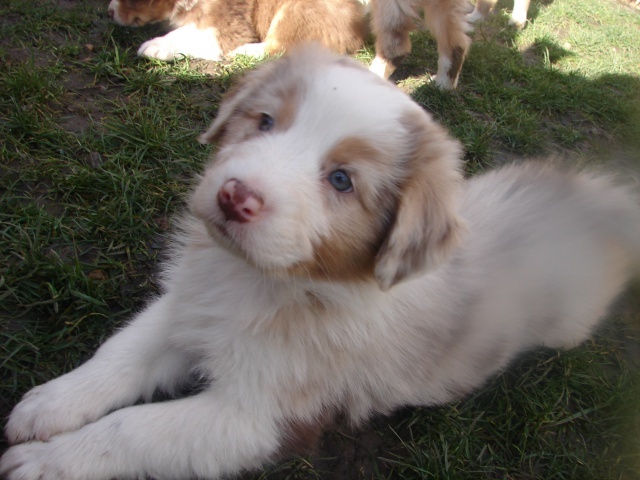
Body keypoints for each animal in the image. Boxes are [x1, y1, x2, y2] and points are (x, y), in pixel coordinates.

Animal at [1, 44, 639, 480]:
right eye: (264, 122)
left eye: (340, 181)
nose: (235, 196)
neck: (260, 282)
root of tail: (598, 198)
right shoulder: (187, 305)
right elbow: (120, 352)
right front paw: (49, 405)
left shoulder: (258, 417)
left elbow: (133, 430)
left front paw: (46, 461)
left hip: (569, 320)